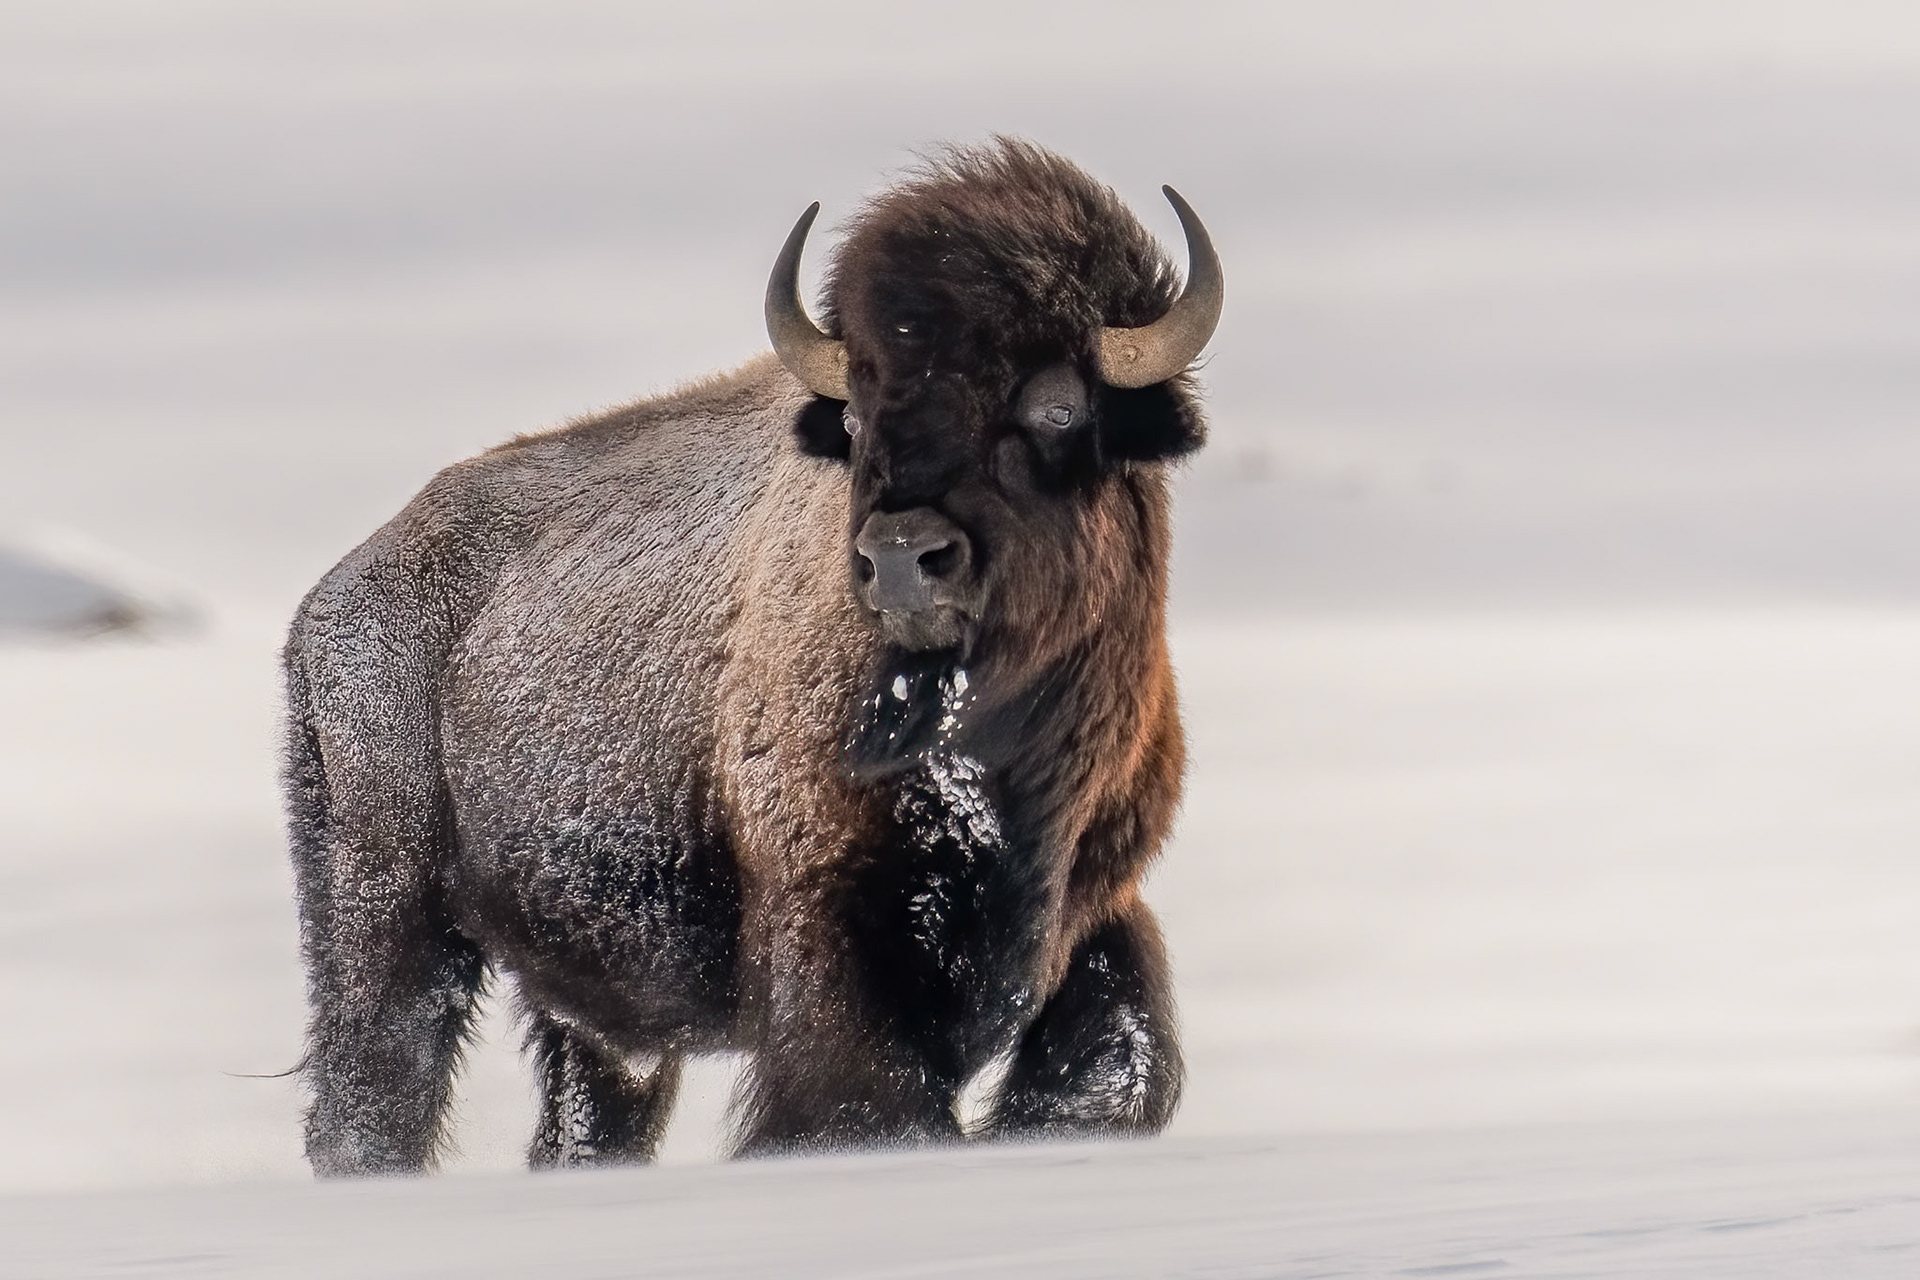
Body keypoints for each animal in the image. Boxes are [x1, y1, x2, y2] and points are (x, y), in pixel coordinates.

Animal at [282, 139, 1222, 1174]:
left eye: (1056, 407)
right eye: (854, 419)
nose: (903, 556)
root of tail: (333, 598)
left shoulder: (1096, 905)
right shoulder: (832, 943)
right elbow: (863, 1106)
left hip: (584, 1009)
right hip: (384, 912)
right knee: (373, 1100)